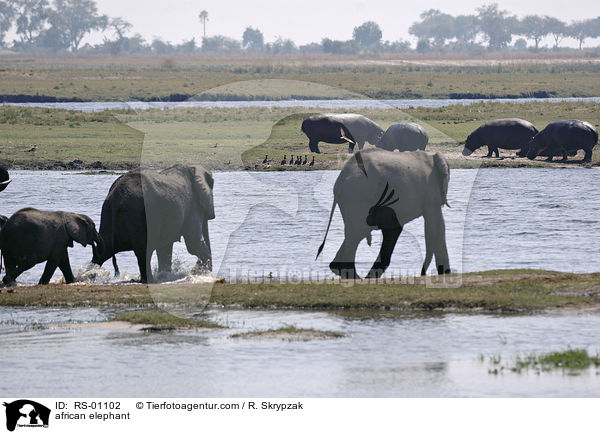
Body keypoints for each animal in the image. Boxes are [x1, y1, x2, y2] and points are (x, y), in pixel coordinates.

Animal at [316, 148, 448, 278]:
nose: (422, 274)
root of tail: (339, 182)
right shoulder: (430, 190)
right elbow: (437, 225)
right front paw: (446, 273)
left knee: (355, 234)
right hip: (357, 197)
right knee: (356, 234)